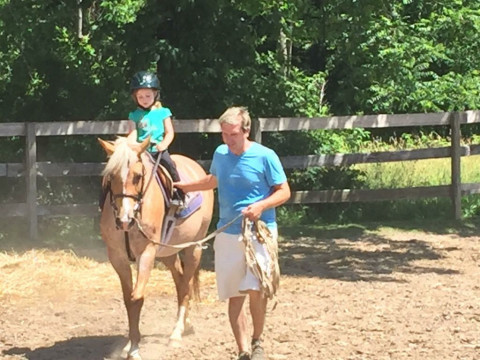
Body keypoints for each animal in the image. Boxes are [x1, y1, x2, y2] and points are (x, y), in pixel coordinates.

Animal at [98, 136, 213, 358]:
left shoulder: (146, 253)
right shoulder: (117, 257)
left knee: (186, 285)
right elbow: (128, 299)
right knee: (180, 281)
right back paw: (185, 325)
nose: (124, 219)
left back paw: (176, 334)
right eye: (111, 176)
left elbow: (137, 297)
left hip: (193, 248)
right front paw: (129, 344)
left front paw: (134, 348)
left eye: (137, 176)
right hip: (168, 251)